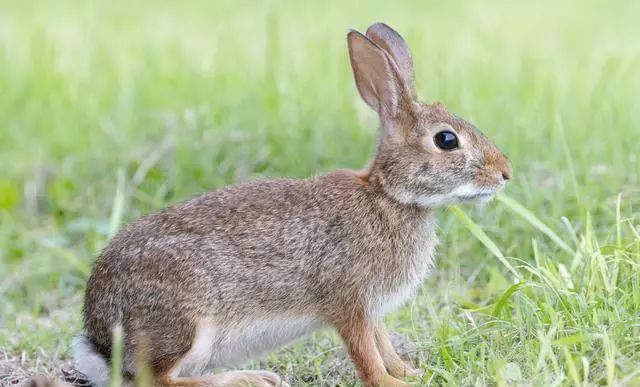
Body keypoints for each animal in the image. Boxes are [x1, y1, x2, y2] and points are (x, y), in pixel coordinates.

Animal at [75, 22, 512, 387]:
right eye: (446, 140)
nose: (505, 172)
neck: (388, 196)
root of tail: (100, 343)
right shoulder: (349, 303)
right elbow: (365, 354)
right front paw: (393, 384)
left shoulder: (372, 310)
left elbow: (383, 344)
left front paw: (411, 373)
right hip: (184, 321)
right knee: (159, 380)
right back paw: (247, 380)